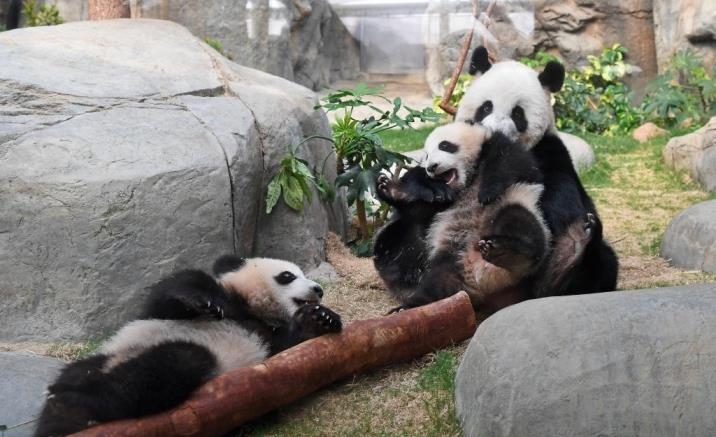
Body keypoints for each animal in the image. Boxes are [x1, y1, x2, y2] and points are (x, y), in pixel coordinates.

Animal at [35, 255, 342, 437]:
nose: (318, 289)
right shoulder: (208, 302)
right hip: (107, 353)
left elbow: (286, 350)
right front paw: (198, 299)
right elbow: (168, 296)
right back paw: (66, 408)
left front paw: (321, 318)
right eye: (288, 275)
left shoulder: (267, 342)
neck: (252, 310)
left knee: (169, 366)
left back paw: (73, 408)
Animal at [454, 46, 619, 296]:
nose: (495, 130)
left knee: (602, 262)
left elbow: (559, 205)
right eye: (486, 107)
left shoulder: (549, 153)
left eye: (518, 114)